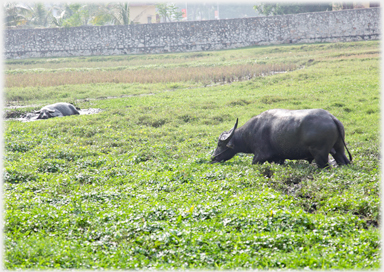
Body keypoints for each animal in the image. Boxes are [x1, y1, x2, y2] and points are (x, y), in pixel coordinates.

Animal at [212, 108, 352, 168]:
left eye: (219, 144)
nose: (213, 158)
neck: (251, 132)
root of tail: (331, 118)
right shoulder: (279, 158)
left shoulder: (260, 156)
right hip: (339, 149)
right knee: (343, 160)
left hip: (320, 154)